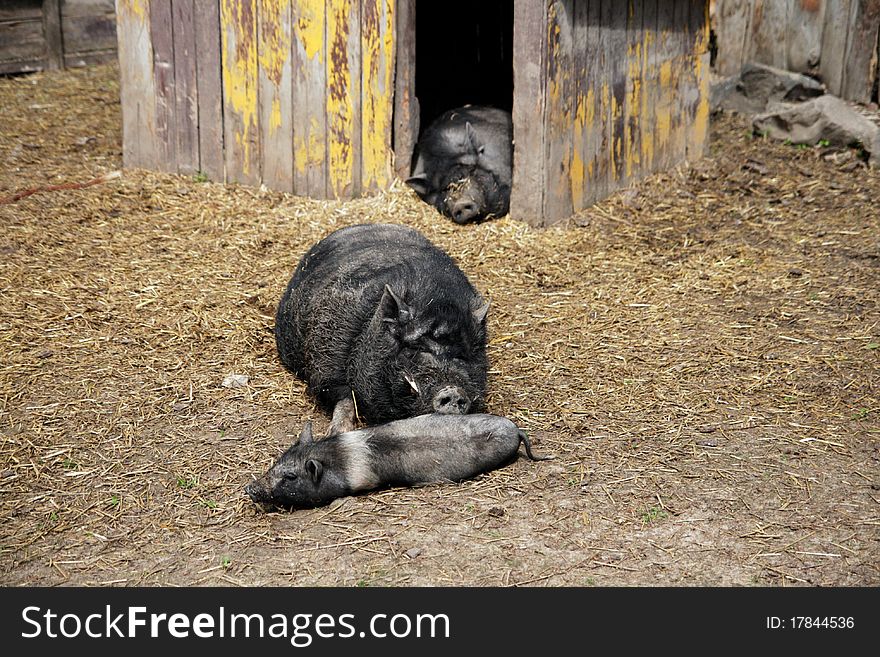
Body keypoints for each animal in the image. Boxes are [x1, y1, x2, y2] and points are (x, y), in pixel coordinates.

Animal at [276, 223, 488, 434]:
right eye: (414, 348)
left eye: (461, 356)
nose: (453, 391)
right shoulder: (326, 359)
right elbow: (345, 397)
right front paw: (337, 432)